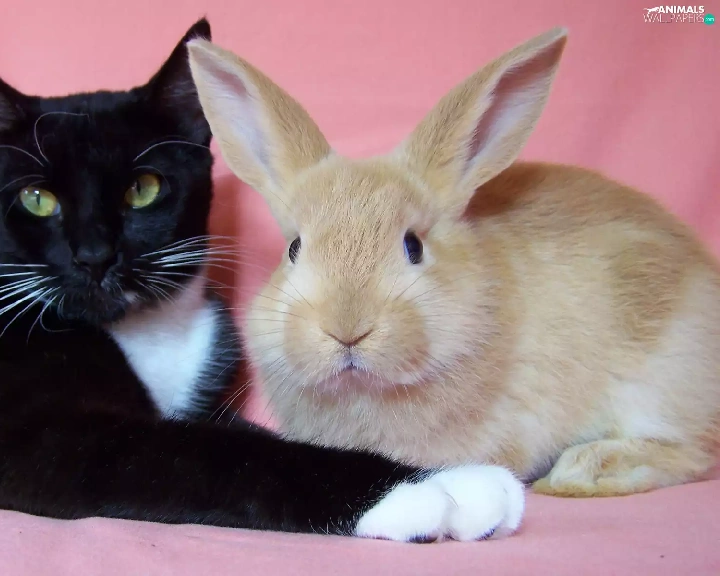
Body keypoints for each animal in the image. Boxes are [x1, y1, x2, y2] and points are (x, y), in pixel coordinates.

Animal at [0, 19, 525, 541]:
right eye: (36, 198)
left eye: (143, 188)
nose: (94, 257)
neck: (145, 329)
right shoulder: (41, 438)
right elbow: (213, 454)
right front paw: (436, 487)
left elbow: (236, 432)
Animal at [187, 27, 720, 498]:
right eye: (294, 248)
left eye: (414, 246)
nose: (347, 329)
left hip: (661, 379)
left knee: (694, 449)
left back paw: (581, 473)